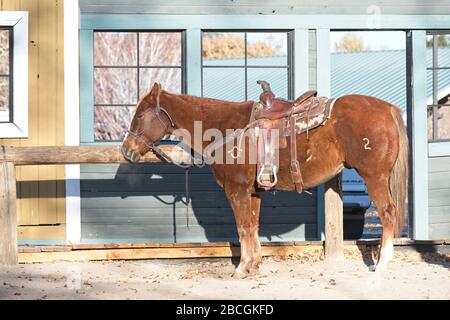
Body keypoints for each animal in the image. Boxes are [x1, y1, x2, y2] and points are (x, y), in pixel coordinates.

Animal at [122, 82, 408, 278]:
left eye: (140, 115)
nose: (126, 150)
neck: (226, 127)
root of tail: (388, 109)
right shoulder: (253, 191)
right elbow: (253, 225)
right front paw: (255, 264)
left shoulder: (236, 190)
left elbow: (242, 227)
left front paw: (242, 268)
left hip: (375, 178)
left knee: (388, 213)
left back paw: (382, 264)